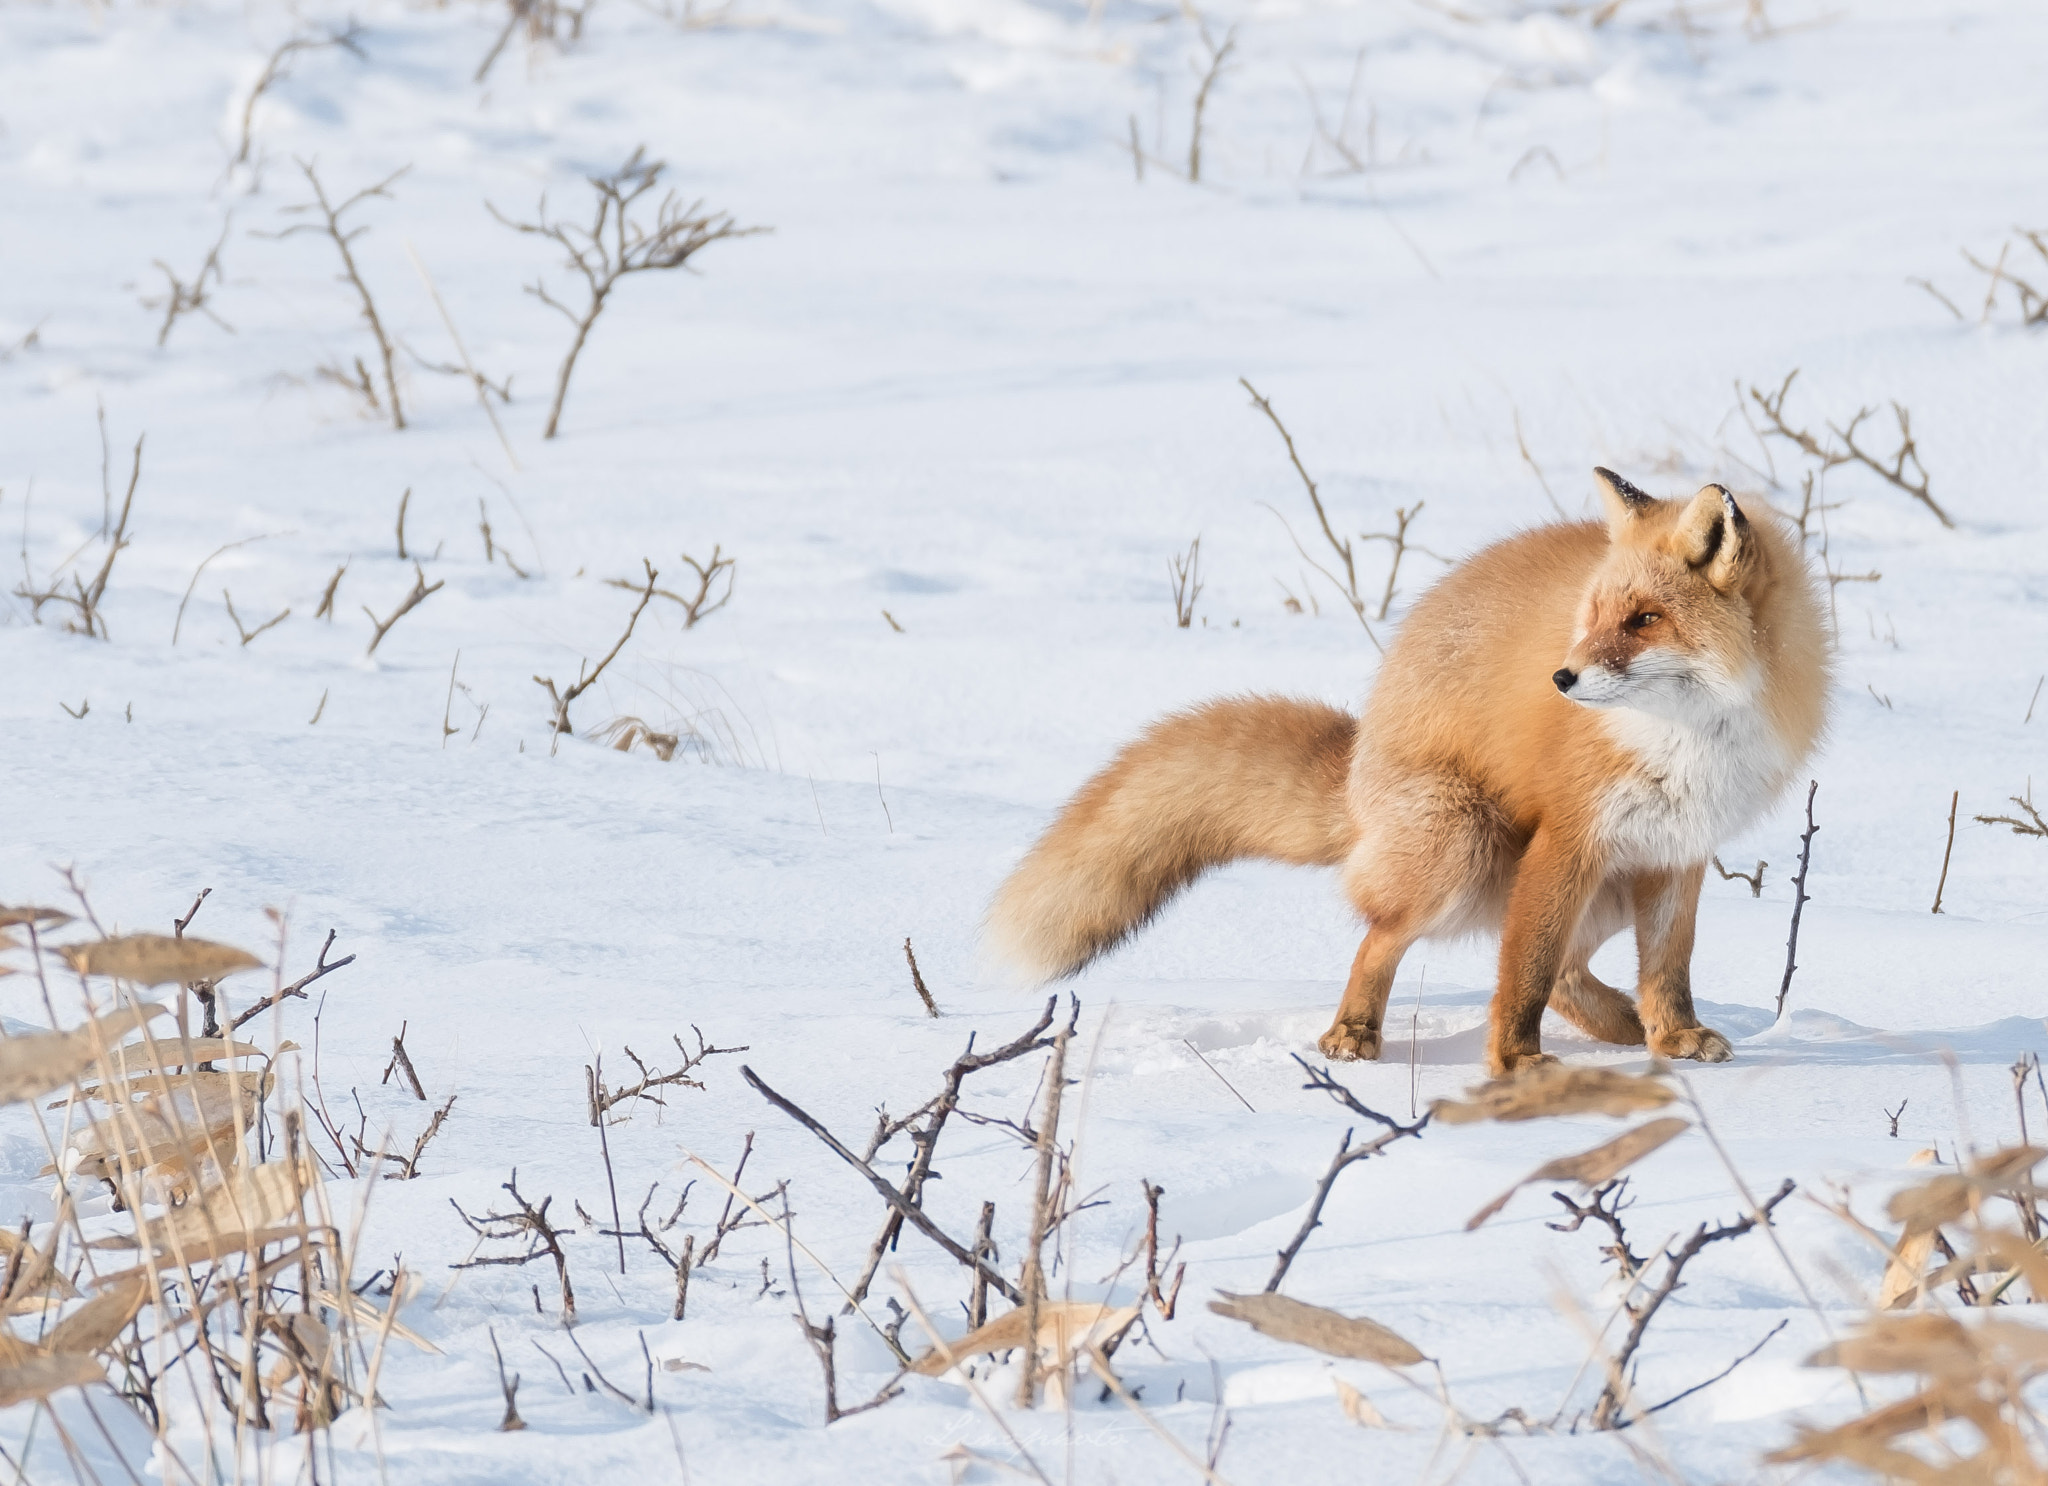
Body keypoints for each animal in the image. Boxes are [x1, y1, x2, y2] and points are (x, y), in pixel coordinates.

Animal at [987, 470, 1826, 1080]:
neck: (1690, 740)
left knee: (1565, 970)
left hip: (1594, 885)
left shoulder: (1679, 851)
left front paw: (1674, 1038)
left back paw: (1624, 1025)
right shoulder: (1570, 834)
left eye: (1645, 619)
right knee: (1395, 940)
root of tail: (1359, 768)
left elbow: (1666, 968)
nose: (1561, 679)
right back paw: (1352, 1034)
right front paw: (1516, 1065)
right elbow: (1522, 972)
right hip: (1465, 849)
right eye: (1591, 616)